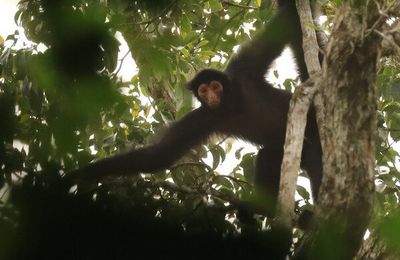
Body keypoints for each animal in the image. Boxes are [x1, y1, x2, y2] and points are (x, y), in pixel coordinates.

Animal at [65, 0, 322, 215]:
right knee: (269, 155)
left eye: (216, 86)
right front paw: (79, 175)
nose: (211, 96)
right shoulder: (203, 117)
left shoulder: (243, 71)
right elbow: (160, 155)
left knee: (314, 155)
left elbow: (286, 21)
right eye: (203, 91)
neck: (233, 105)